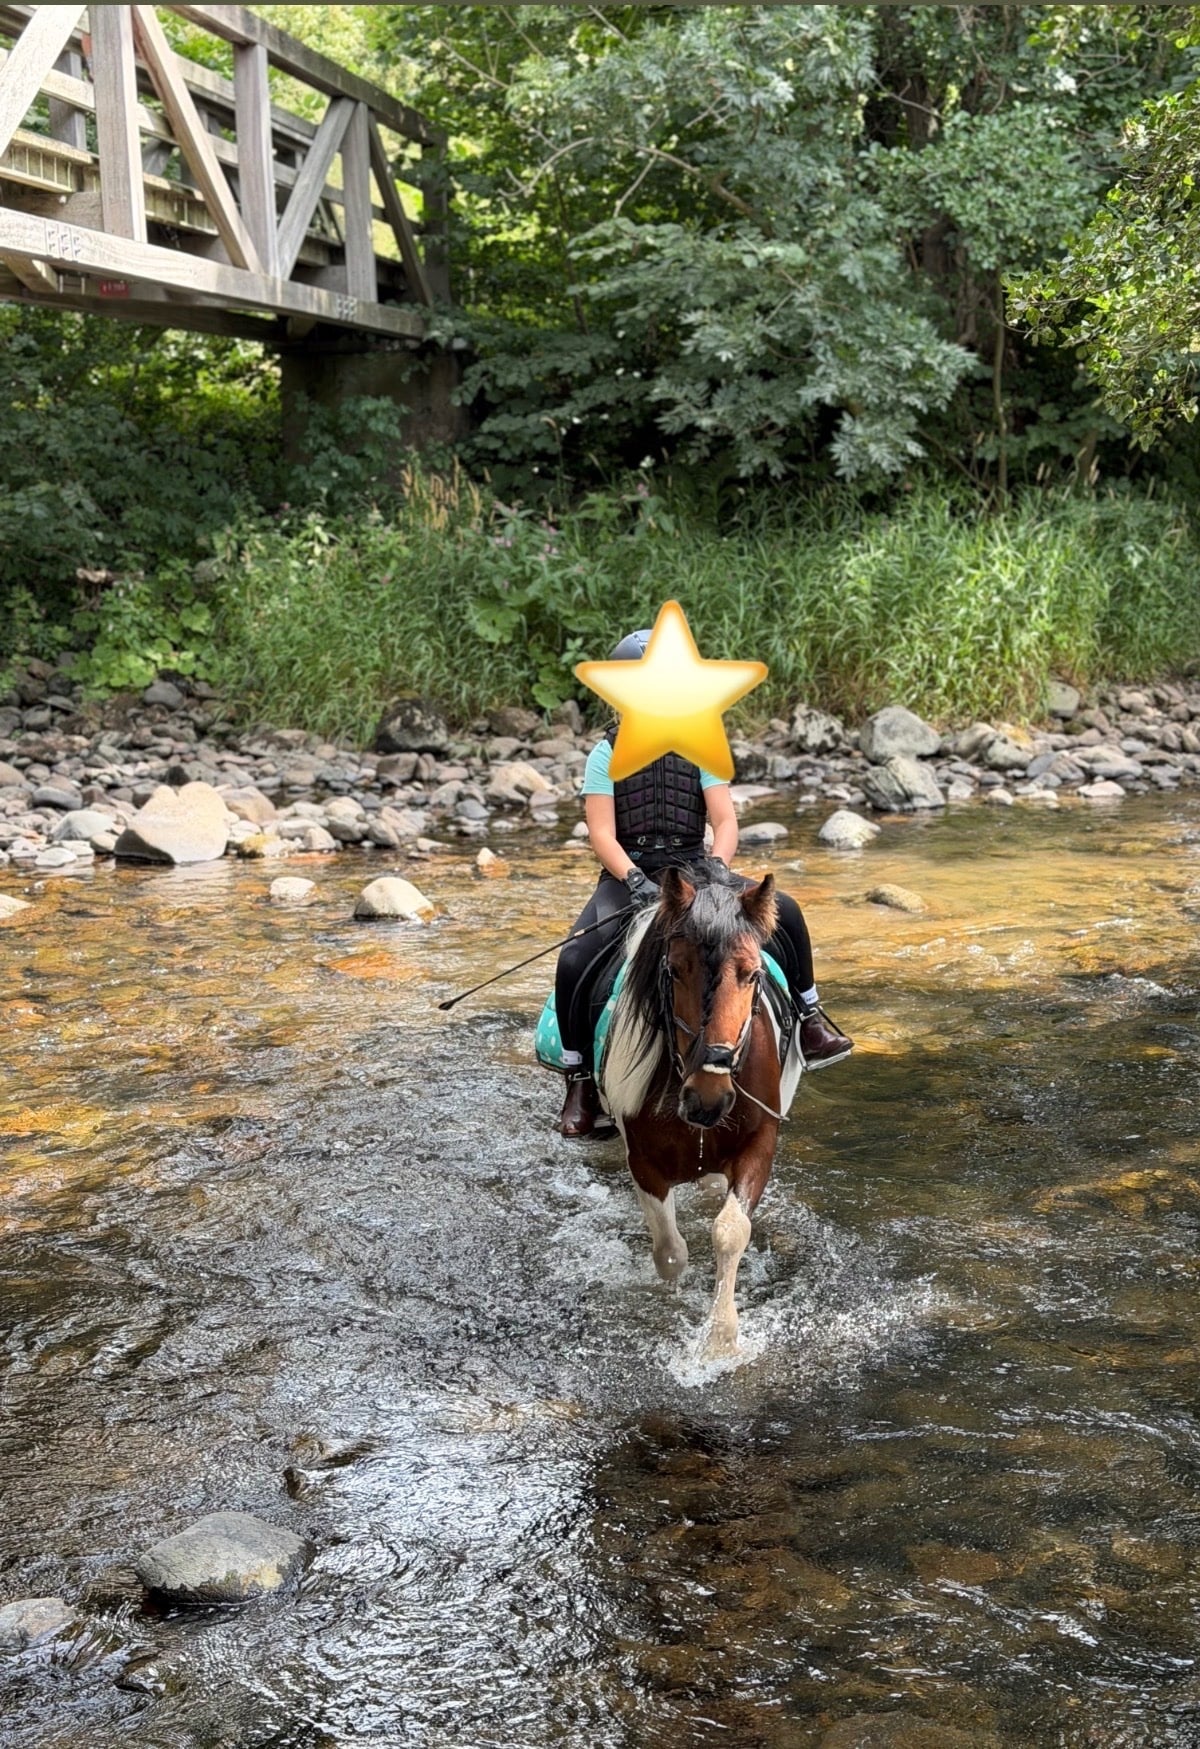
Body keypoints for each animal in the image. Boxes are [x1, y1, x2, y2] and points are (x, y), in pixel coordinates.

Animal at [598, 857, 794, 1359]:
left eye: (752, 975)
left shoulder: (759, 1143)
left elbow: (730, 1230)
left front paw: (721, 1339)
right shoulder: (643, 1161)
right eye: (674, 970)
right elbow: (670, 1252)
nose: (707, 1097)